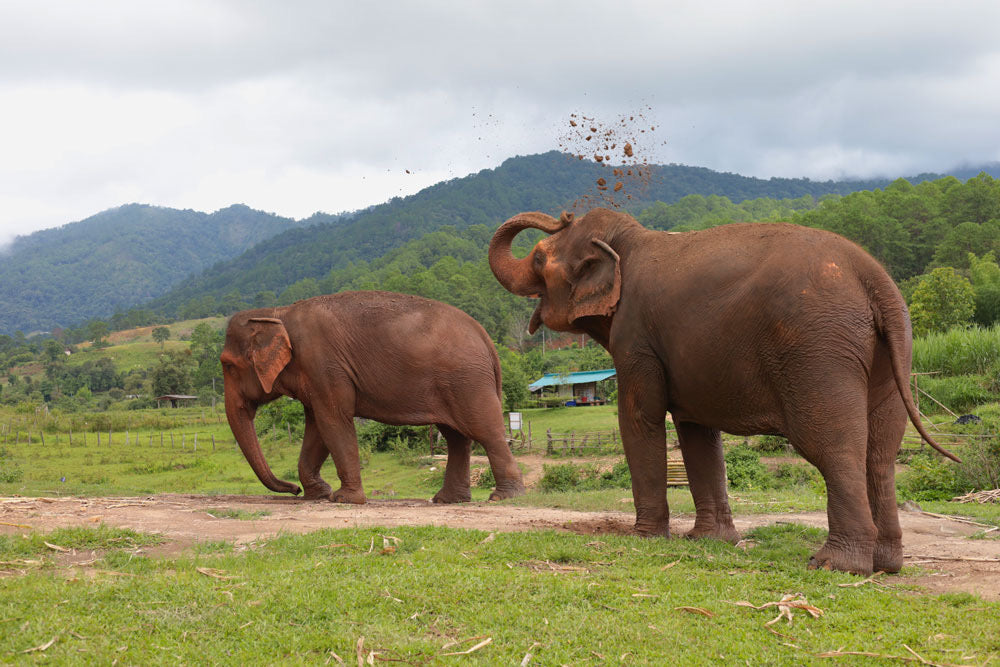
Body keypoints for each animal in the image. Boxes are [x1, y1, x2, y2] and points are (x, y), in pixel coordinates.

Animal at [220, 291, 526, 504]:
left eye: (228, 366)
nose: (292, 490)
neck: (277, 312)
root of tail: (486, 338)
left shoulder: (325, 366)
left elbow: (333, 422)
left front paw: (343, 499)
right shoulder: (317, 375)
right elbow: (317, 427)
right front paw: (318, 495)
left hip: (468, 381)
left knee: (484, 431)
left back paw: (503, 497)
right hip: (457, 382)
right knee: (456, 438)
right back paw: (447, 500)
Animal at [489, 207, 957, 575]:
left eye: (539, 258)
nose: (562, 215)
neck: (628, 241)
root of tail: (874, 277)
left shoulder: (636, 337)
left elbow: (639, 419)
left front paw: (644, 538)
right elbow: (696, 432)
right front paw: (709, 542)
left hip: (818, 352)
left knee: (834, 447)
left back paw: (834, 565)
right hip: (890, 354)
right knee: (881, 453)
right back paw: (887, 565)